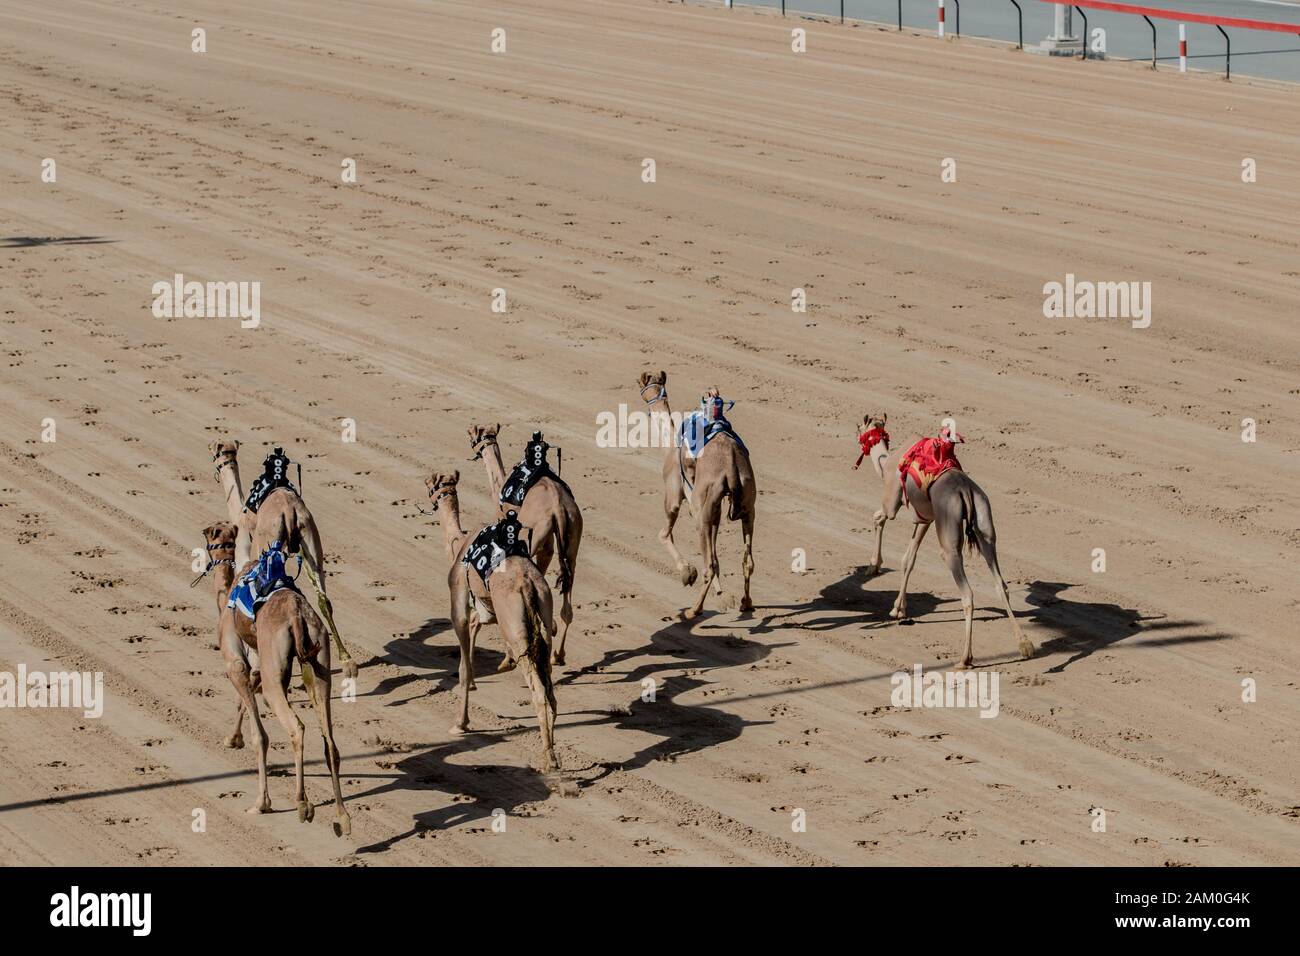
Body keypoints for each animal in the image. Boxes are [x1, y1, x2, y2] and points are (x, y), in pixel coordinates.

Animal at [196, 520, 351, 832]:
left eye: (209, 536)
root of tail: (297, 617)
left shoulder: (235, 660)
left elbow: (260, 734)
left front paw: (261, 803)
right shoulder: (259, 664)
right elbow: (246, 699)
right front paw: (232, 738)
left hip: (276, 670)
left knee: (296, 727)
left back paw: (302, 804)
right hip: (319, 662)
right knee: (330, 741)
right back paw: (342, 817)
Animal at [209, 442, 361, 681]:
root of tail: (288, 511)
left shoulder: (246, 552)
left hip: (267, 543)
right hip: (310, 538)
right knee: (324, 599)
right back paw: (348, 663)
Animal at [426, 468, 559, 775]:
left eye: (431, 482)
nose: (431, 490)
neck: (459, 545)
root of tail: (528, 585)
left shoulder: (459, 607)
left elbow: (463, 667)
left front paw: (460, 724)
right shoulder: (486, 611)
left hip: (516, 627)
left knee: (538, 689)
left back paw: (548, 759)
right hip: (544, 615)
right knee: (550, 688)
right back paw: (553, 753)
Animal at [465, 424, 582, 665]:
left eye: (474, 434)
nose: (471, 439)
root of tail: (559, 508)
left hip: (536, 533)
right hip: (573, 533)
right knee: (568, 598)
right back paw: (558, 655)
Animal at [634, 374, 759, 621]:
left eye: (644, 385)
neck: (670, 445)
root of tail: (731, 463)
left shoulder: (676, 496)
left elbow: (664, 534)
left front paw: (687, 573)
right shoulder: (713, 511)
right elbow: (716, 555)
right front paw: (723, 595)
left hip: (704, 508)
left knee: (708, 565)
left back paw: (693, 610)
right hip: (747, 503)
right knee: (747, 560)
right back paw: (745, 603)